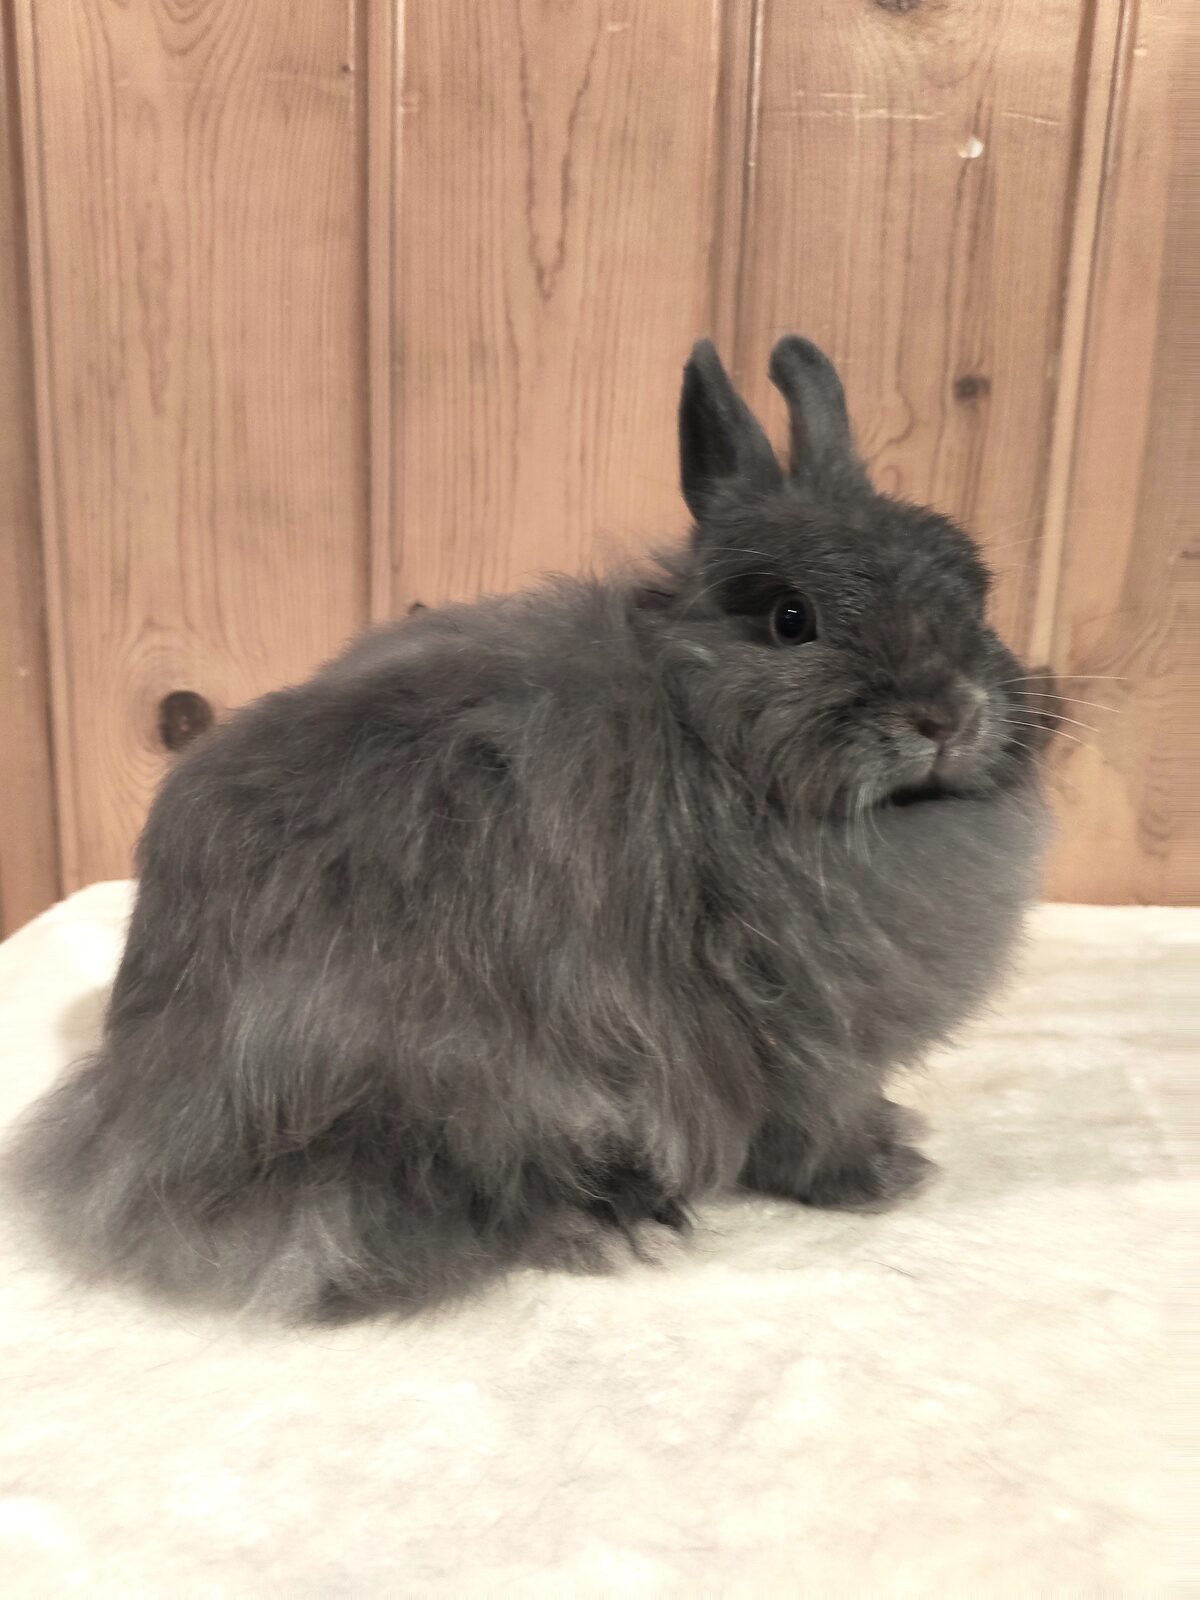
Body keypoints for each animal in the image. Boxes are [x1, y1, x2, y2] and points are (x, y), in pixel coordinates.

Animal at [5, 335, 1055, 1323]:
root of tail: (142, 1121)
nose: (944, 714)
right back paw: (615, 1222)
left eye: (974, 591)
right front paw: (879, 1178)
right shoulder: (798, 1035)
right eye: (791, 618)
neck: (705, 734)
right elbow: (812, 1125)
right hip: (474, 1089)